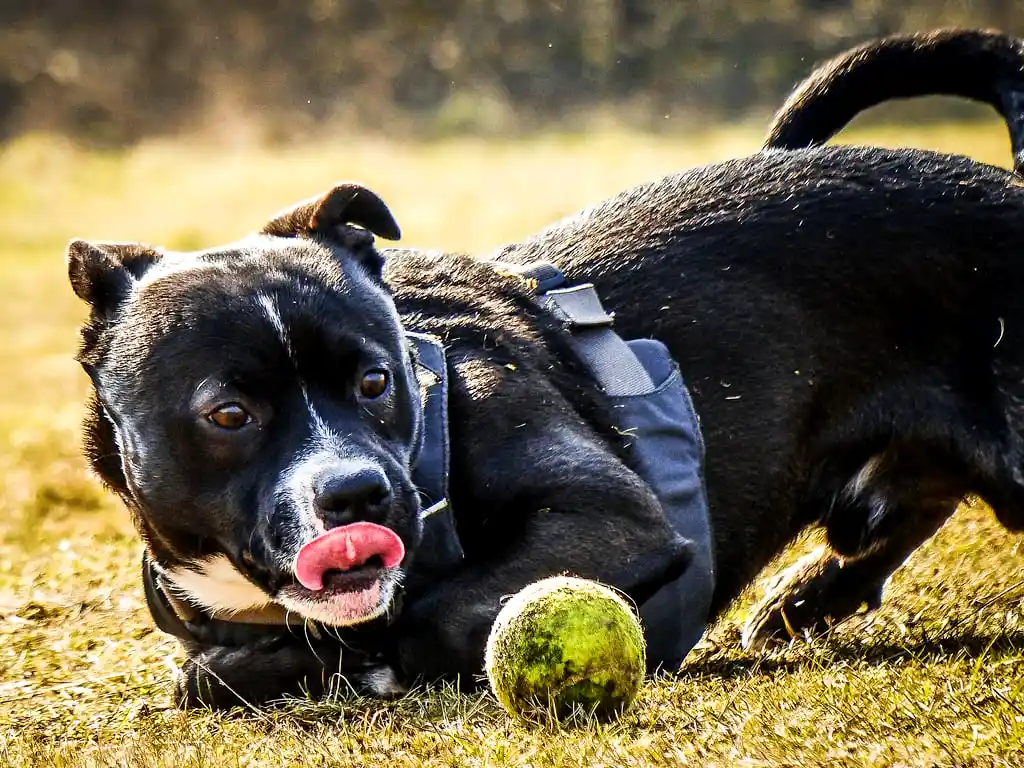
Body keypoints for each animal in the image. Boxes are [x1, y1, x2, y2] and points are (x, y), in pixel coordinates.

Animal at [68, 27, 1024, 712]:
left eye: (376, 382)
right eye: (228, 415)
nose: (355, 495)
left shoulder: (610, 516)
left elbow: (432, 613)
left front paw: (364, 657)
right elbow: (208, 673)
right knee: (906, 498)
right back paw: (811, 594)